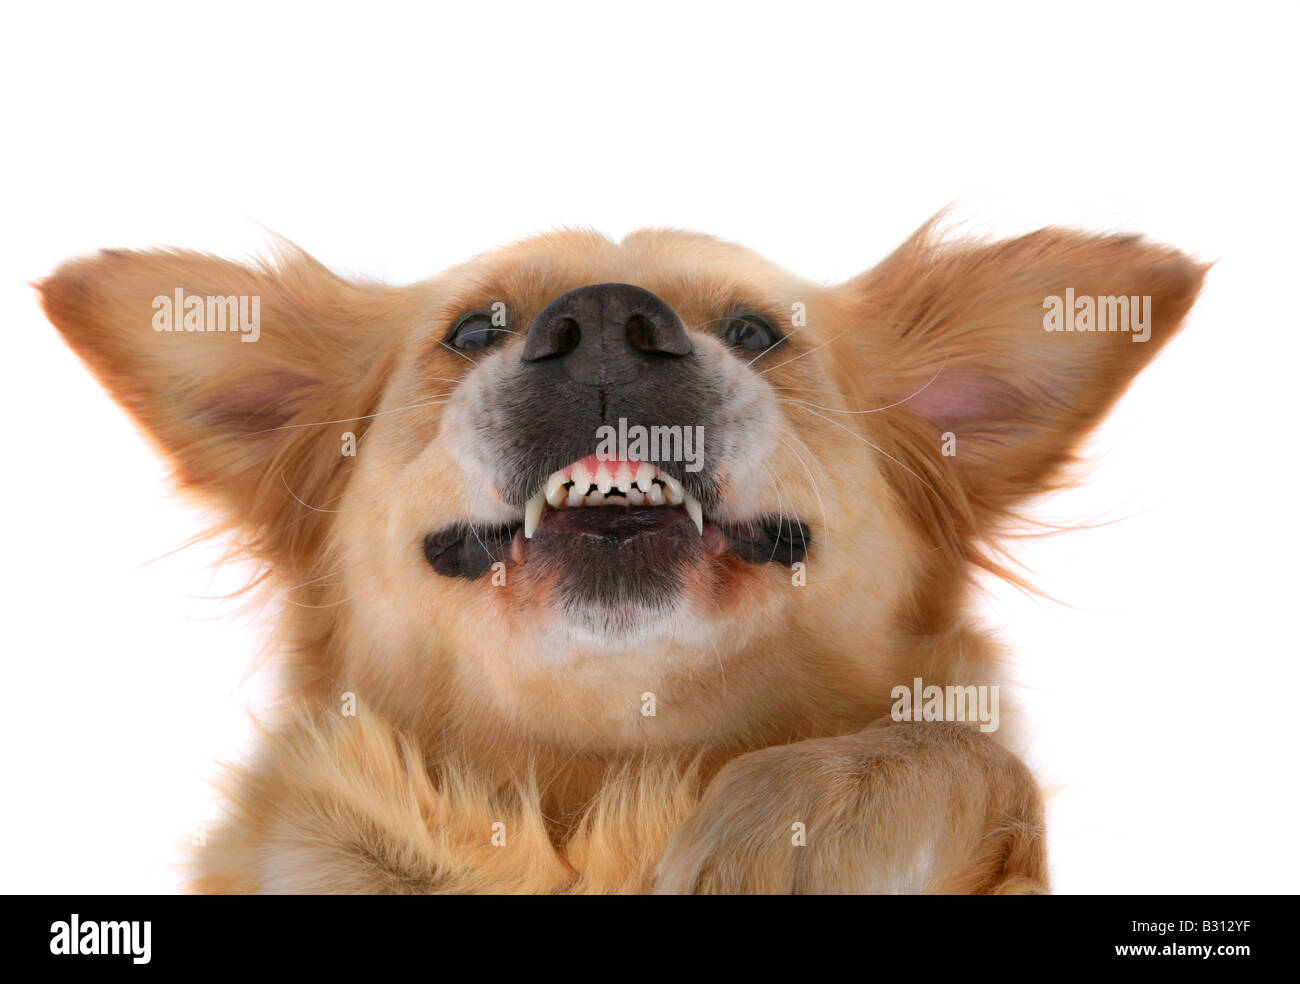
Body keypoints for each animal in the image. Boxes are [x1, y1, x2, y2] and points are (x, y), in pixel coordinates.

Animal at [35, 218, 1201, 894]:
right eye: (471, 330)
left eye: (757, 331)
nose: (602, 323)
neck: (608, 783)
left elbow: (960, 746)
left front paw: (803, 824)